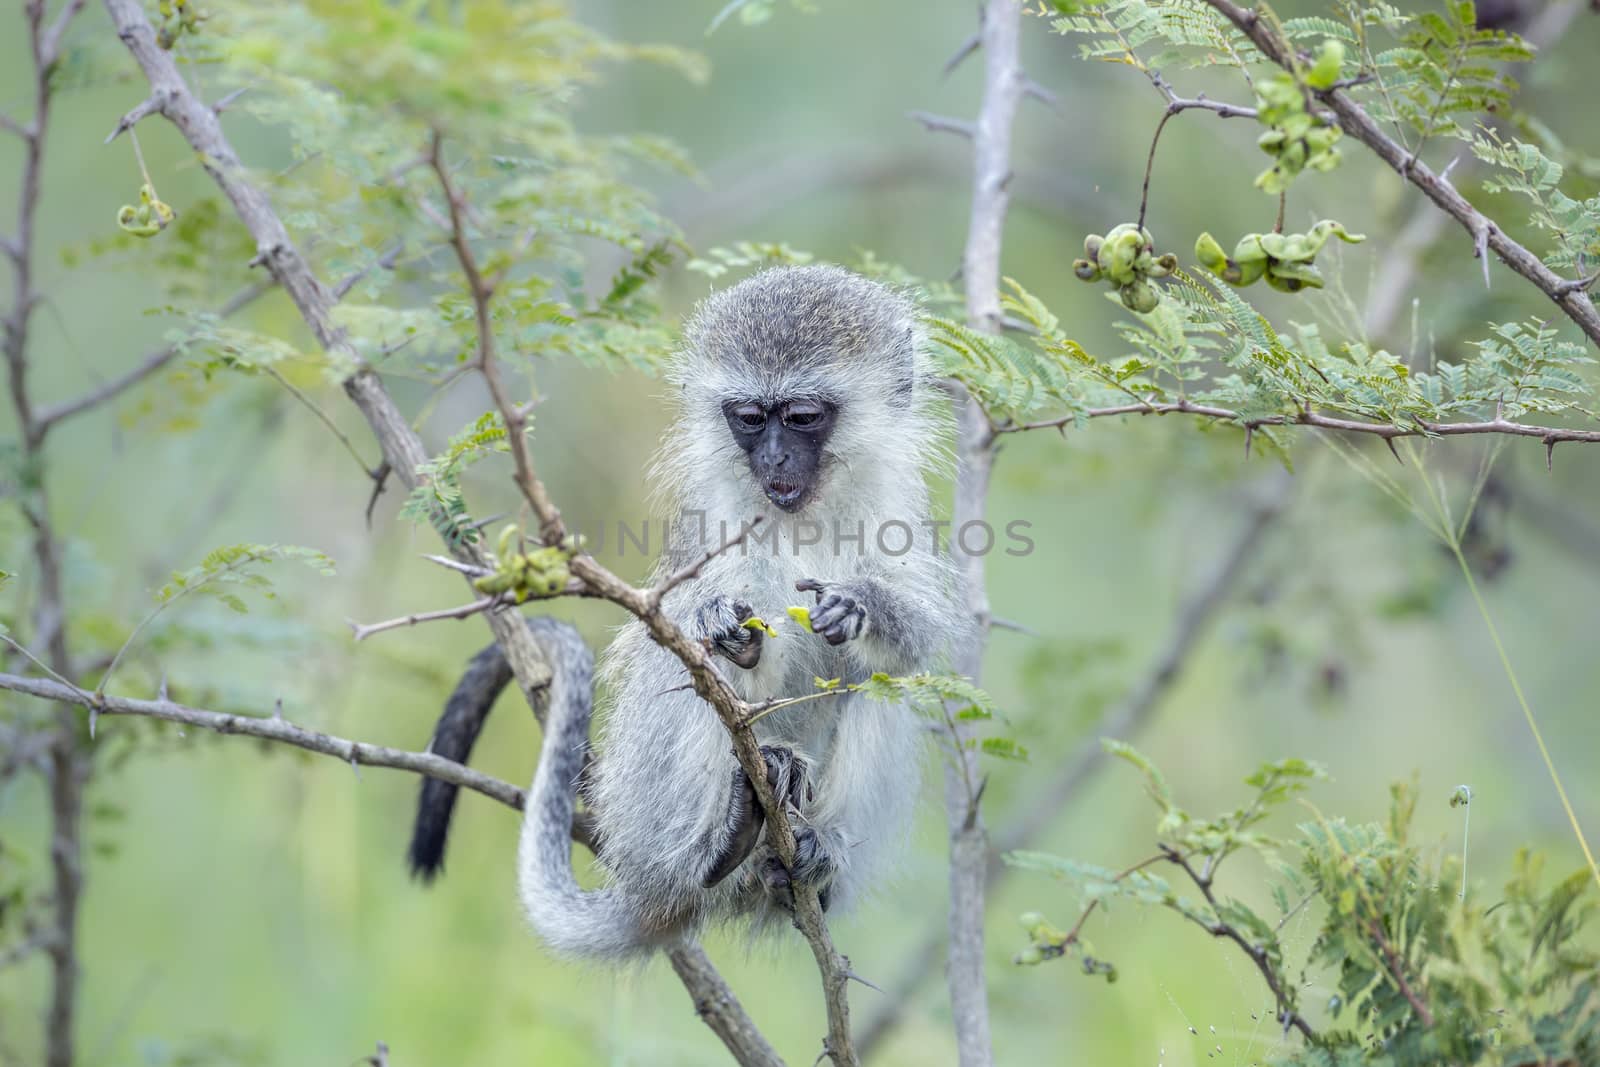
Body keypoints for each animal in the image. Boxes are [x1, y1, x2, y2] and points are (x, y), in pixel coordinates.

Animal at [412, 265, 960, 959]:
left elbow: (918, 639)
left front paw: (860, 606)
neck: (803, 513)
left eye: (802, 416)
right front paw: (729, 633)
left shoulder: (897, 505)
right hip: (644, 810)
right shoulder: (716, 524)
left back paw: (812, 856)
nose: (773, 460)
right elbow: (703, 645)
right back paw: (715, 844)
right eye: (749, 418)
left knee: (876, 683)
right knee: (692, 682)